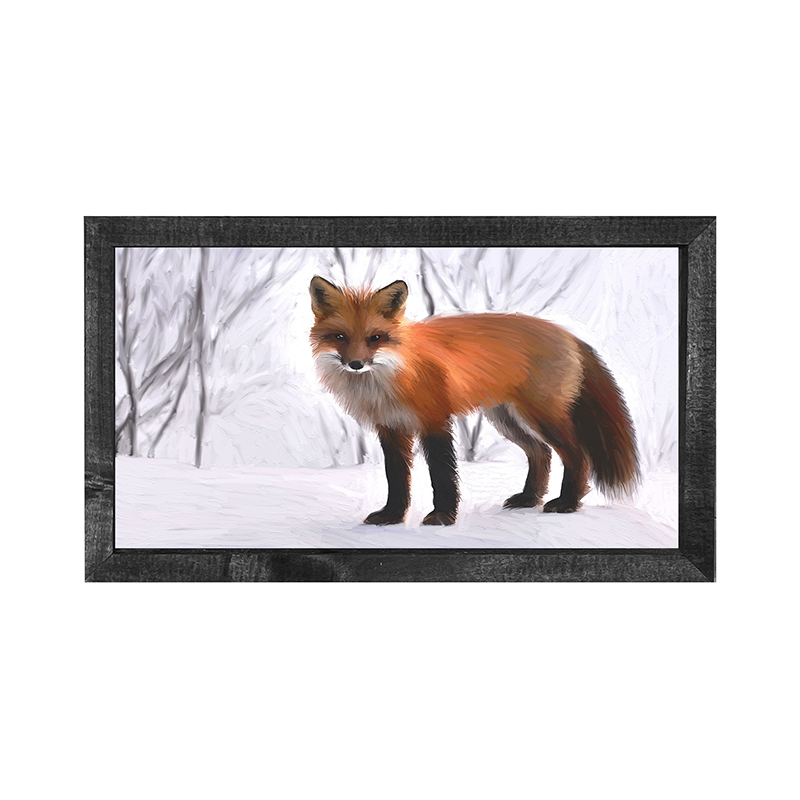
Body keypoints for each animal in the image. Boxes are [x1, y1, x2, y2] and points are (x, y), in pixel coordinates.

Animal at [309, 275, 639, 526]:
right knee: (541, 453)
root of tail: (567, 333)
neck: (392, 377)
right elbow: (397, 478)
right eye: (340, 337)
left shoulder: (434, 421)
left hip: (542, 417)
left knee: (577, 454)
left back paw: (567, 503)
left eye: (375, 338)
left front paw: (442, 517)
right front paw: (391, 517)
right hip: (507, 419)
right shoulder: (391, 428)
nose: (355, 364)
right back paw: (529, 499)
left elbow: (442, 475)